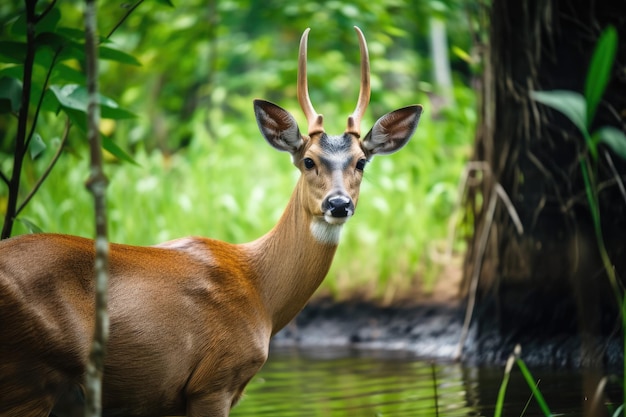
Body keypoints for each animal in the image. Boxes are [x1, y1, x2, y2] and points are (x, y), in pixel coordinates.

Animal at [0, 26, 420, 416]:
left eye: (361, 162)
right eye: (308, 160)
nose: (338, 204)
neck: (260, 290)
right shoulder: (214, 381)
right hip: (28, 378)